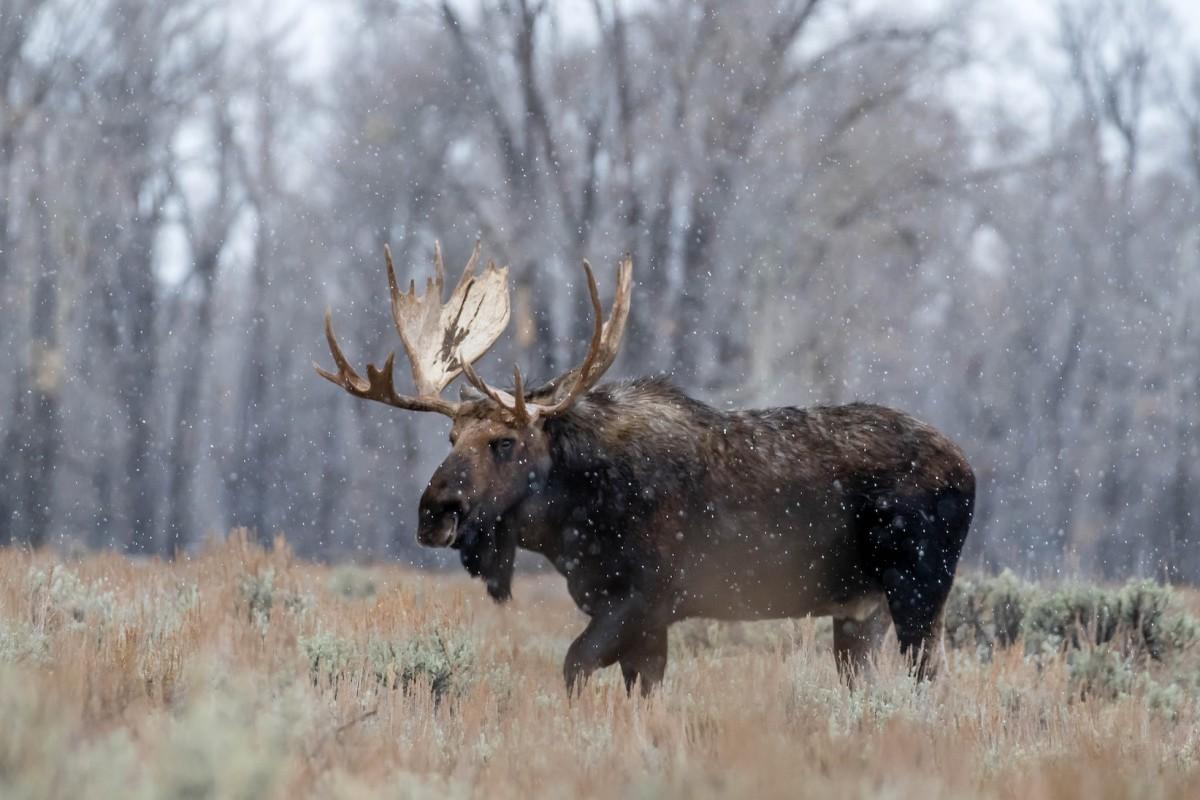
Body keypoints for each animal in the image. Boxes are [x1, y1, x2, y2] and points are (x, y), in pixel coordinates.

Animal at [319, 242, 974, 695]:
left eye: (504, 442)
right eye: (451, 436)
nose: (435, 514)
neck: (569, 523)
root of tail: (969, 469)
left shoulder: (643, 601)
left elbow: (573, 667)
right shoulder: (633, 617)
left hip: (919, 590)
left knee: (931, 680)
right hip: (860, 612)